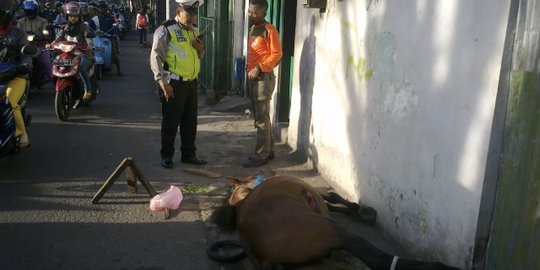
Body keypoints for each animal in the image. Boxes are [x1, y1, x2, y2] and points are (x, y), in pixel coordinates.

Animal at [211, 175, 460, 270]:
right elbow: (332, 196)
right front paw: (361, 210)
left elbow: (333, 202)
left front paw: (357, 210)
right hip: (332, 231)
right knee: (378, 259)